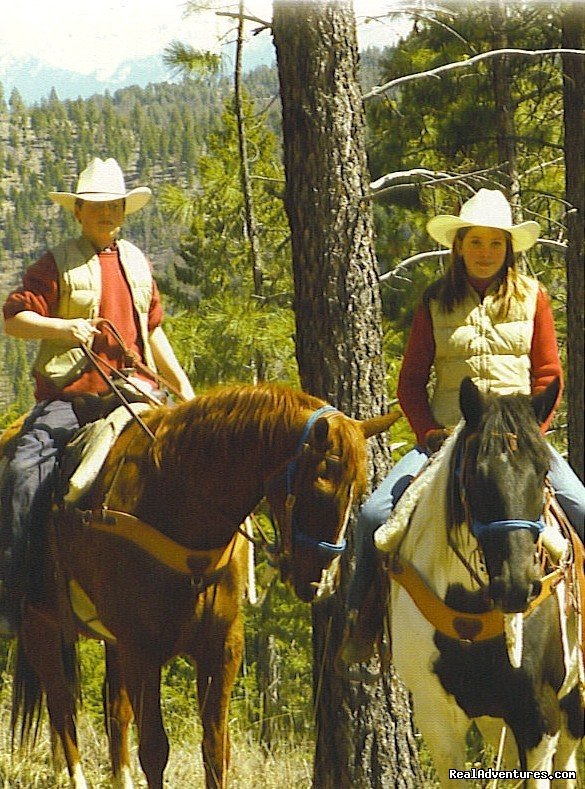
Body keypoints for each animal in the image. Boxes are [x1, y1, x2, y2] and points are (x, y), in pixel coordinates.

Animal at [10, 382, 396, 788]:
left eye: (360, 490)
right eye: (321, 489)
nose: (319, 582)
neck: (176, 506)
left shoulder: (221, 647)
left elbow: (215, 748)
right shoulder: (141, 650)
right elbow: (154, 749)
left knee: (115, 712)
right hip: (40, 626)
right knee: (61, 706)